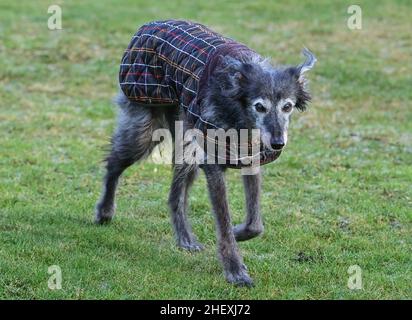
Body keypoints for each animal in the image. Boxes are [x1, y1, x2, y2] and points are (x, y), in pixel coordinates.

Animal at [96, 18, 316, 286]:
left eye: (287, 106)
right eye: (259, 107)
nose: (277, 143)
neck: (237, 113)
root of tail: (149, 25)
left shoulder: (250, 160)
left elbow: (255, 224)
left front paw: (239, 232)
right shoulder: (213, 166)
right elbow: (223, 221)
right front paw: (235, 269)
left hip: (187, 147)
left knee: (176, 195)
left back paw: (185, 239)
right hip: (143, 130)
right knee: (114, 163)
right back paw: (105, 211)